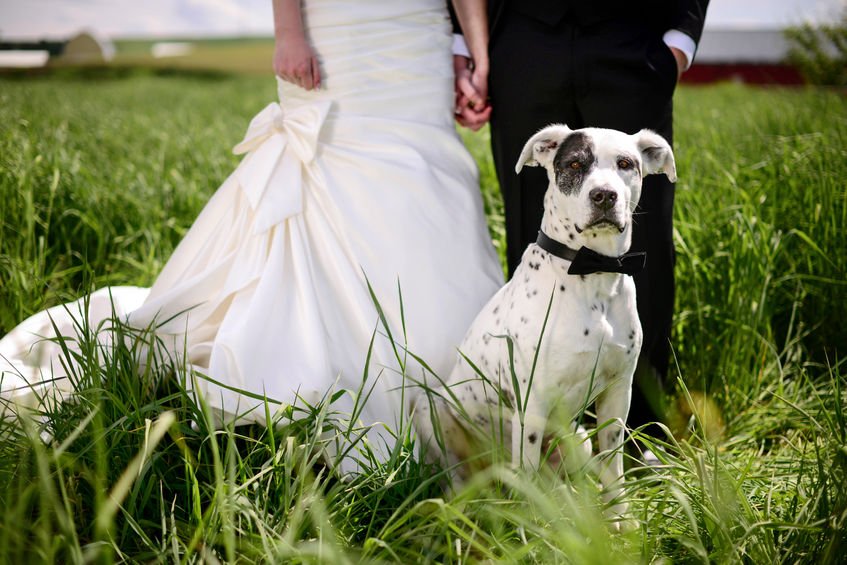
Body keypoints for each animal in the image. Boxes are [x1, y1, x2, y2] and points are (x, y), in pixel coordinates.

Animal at [414, 123, 680, 524]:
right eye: (575, 163)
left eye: (625, 163)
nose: (604, 196)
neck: (593, 272)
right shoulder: (532, 402)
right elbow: (526, 469)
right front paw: (531, 528)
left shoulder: (618, 392)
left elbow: (613, 465)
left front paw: (619, 520)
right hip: (430, 412)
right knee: (459, 474)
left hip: (578, 440)